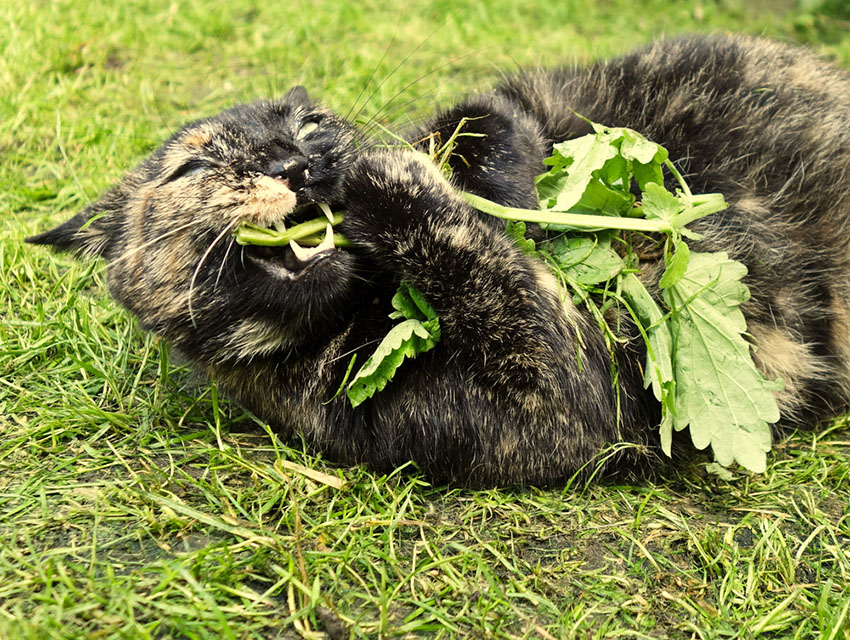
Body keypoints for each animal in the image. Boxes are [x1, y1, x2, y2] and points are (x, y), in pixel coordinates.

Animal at [24, 33, 848, 484]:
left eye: (311, 121)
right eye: (192, 170)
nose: (298, 163)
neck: (371, 297)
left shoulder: (510, 102)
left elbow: (484, 124)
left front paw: (509, 195)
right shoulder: (556, 412)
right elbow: (486, 269)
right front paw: (391, 183)